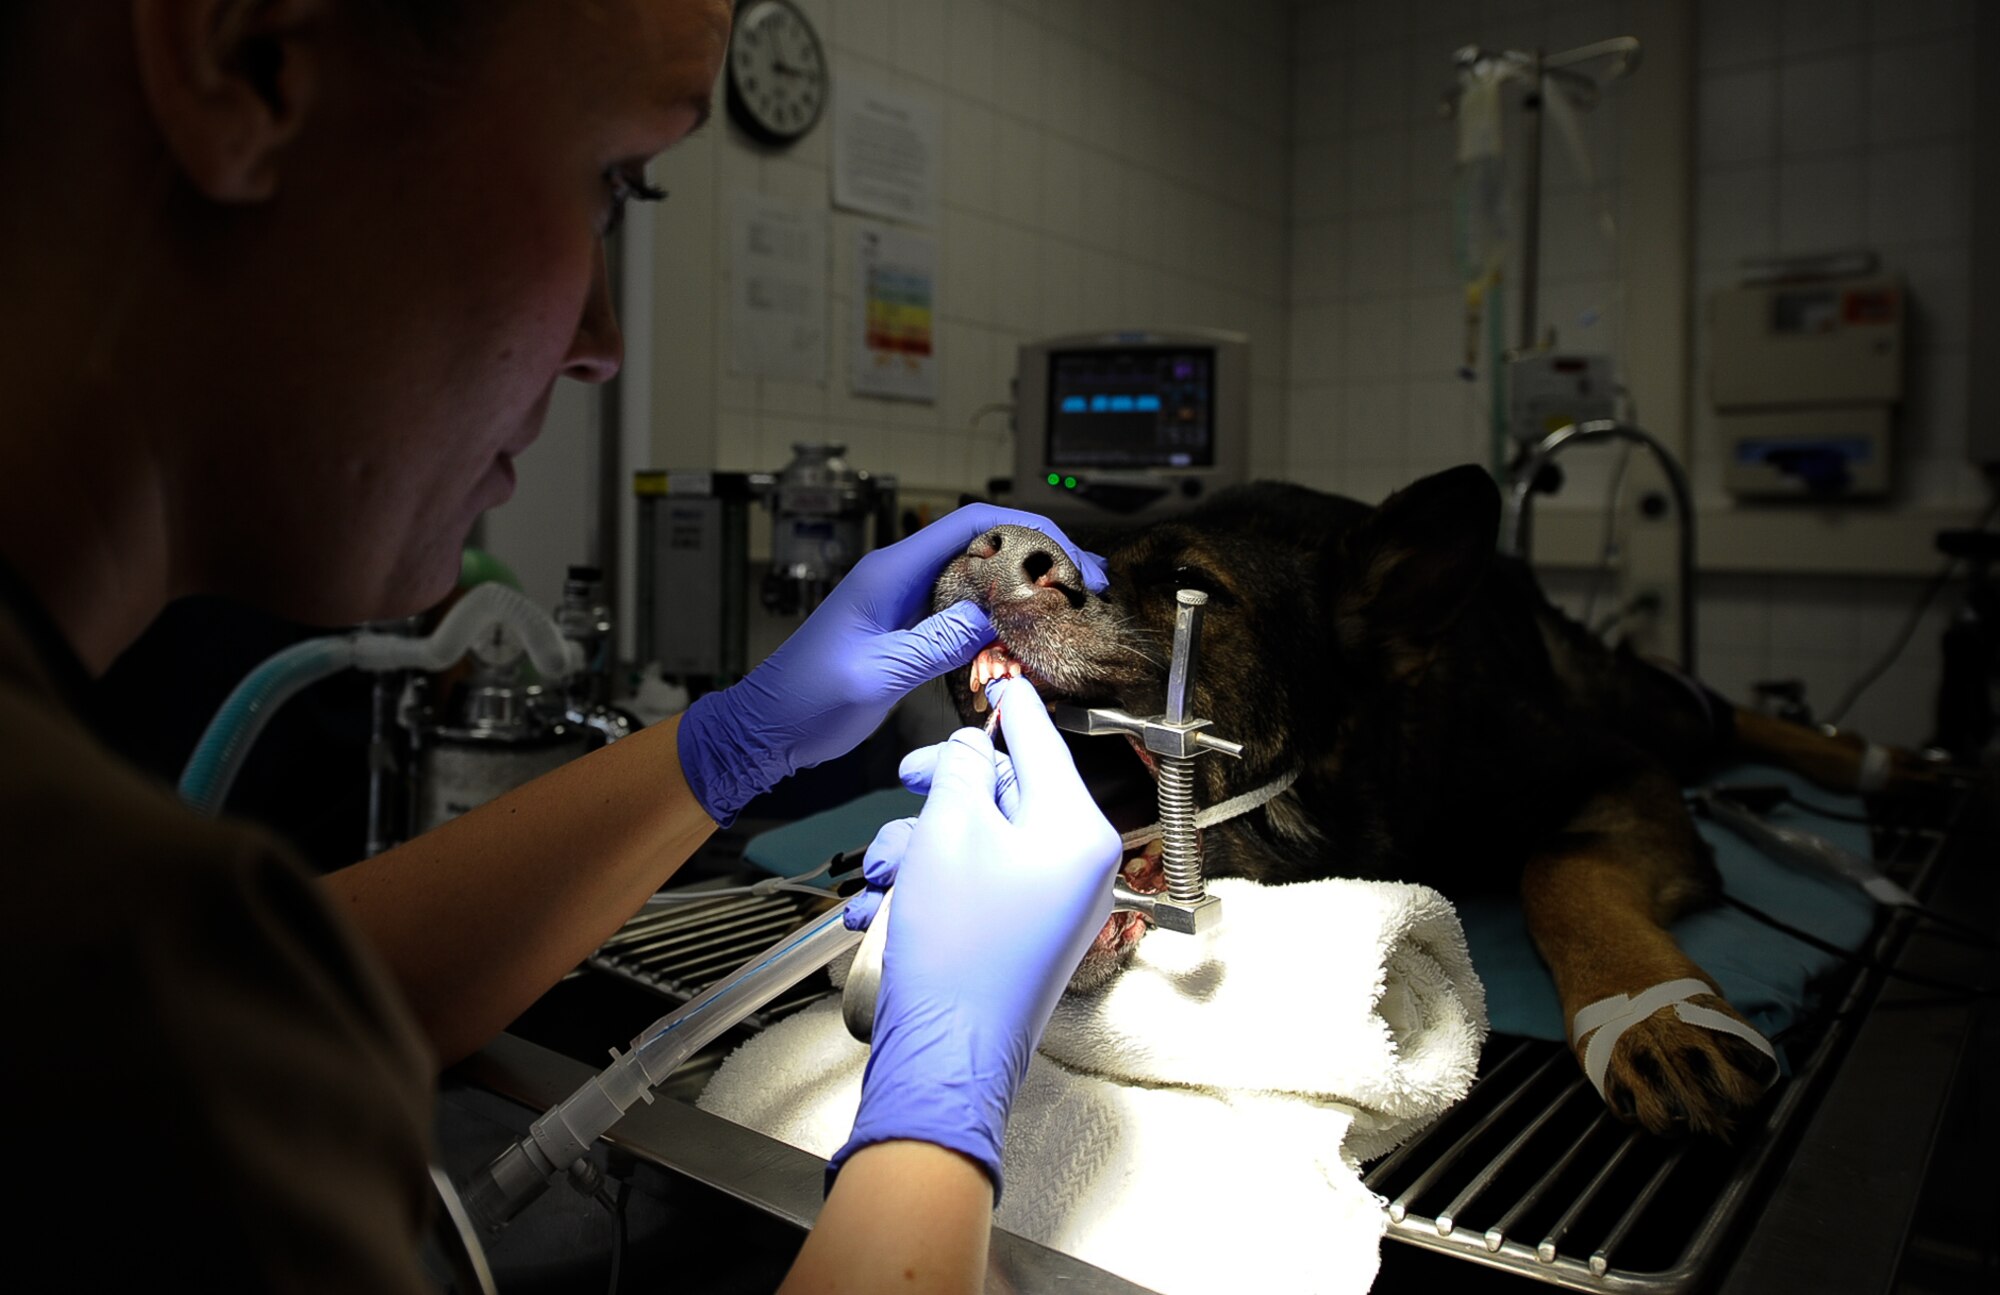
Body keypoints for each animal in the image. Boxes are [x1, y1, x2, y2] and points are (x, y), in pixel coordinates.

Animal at [928, 469, 1928, 1135]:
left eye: (1192, 589)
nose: (989, 544)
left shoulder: (1618, 772)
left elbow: (1561, 863)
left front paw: (1653, 1013)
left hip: (1648, 716)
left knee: (1715, 710)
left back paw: (1882, 761)